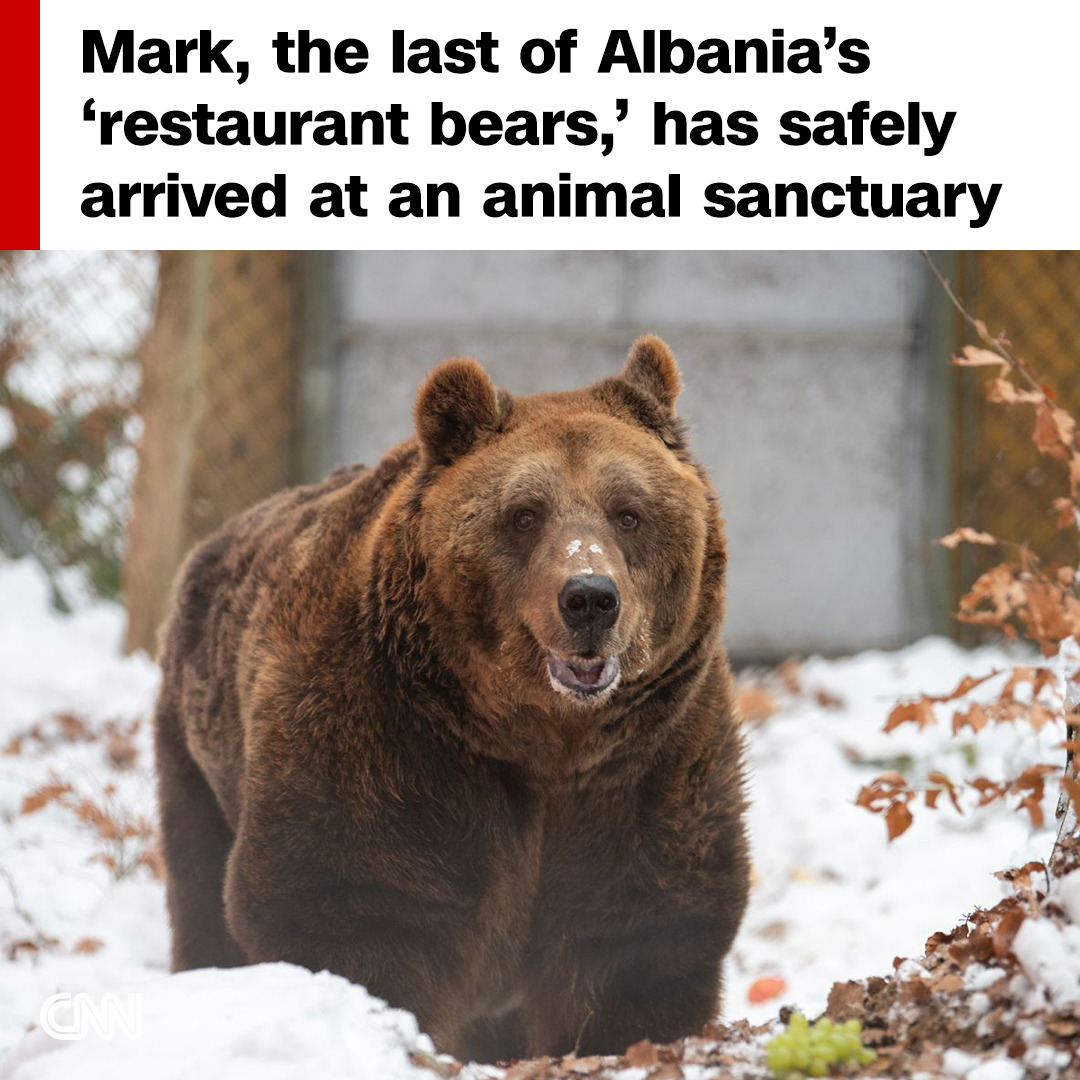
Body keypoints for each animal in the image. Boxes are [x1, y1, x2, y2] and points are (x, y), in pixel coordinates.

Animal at [153, 334, 750, 1062]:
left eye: (629, 513)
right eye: (524, 514)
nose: (589, 597)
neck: (543, 739)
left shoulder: (651, 755)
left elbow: (643, 927)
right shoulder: (386, 741)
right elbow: (348, 900)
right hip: (197, 756)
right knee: (200, 891)